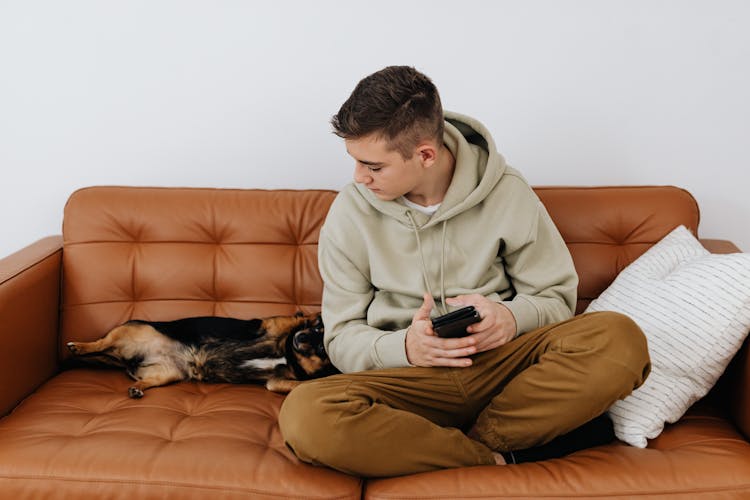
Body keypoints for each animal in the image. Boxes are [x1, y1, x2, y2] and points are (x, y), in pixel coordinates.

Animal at [67, 312, 338, 398]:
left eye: (322, 349)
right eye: (316, 330)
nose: (301, 338)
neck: (287, 353)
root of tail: (123, 359)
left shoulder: (275, 382)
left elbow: (297, 384)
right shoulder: (270, 325)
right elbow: (294, 319)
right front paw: (306, 316)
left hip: (167, 374)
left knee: (145, 380)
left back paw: (138, 388)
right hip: (128, 331)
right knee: (99, 343)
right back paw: (78, 346)